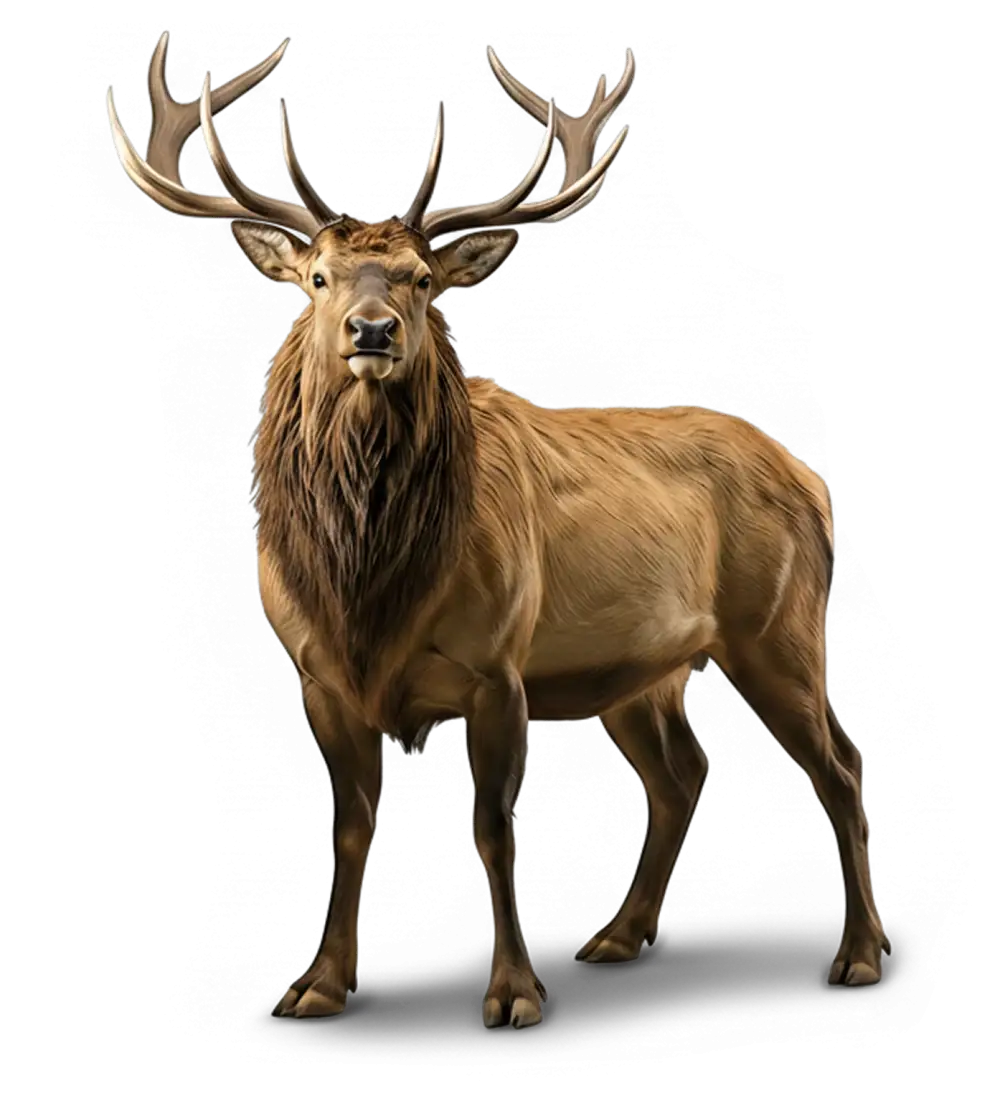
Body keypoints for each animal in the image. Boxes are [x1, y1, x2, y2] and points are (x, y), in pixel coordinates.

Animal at [106, 32, 889, 1028]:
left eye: (423, 281)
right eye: (317, 280)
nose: (372, 330)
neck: (372, 592)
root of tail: (813, 482)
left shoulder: (498, 666)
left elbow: (495, 828)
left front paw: (513, 992)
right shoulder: (317, 674)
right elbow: (352, 829)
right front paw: (320, 983)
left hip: (778, 628)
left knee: (840, 765)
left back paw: (859, 954)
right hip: (642, 672)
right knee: (683, 773)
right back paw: (617, 936)